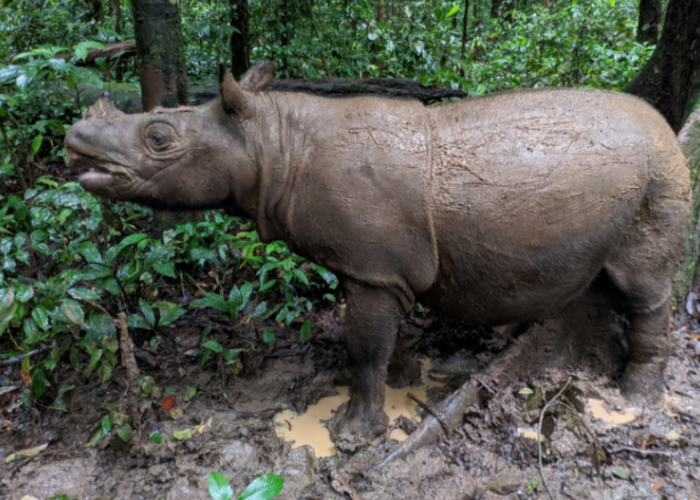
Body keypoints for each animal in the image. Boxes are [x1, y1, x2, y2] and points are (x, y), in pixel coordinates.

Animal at [65, 61, 688, 450]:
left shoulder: (371, 269)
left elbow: (363, 347)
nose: (74, 140)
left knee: (645, 287)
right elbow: (383, 339)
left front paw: (349, 434)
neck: (273, 141)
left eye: (159, 138)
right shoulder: (379, 266)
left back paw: (634, 401)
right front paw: (405, 375)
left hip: (660, 174)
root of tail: (666, 127)